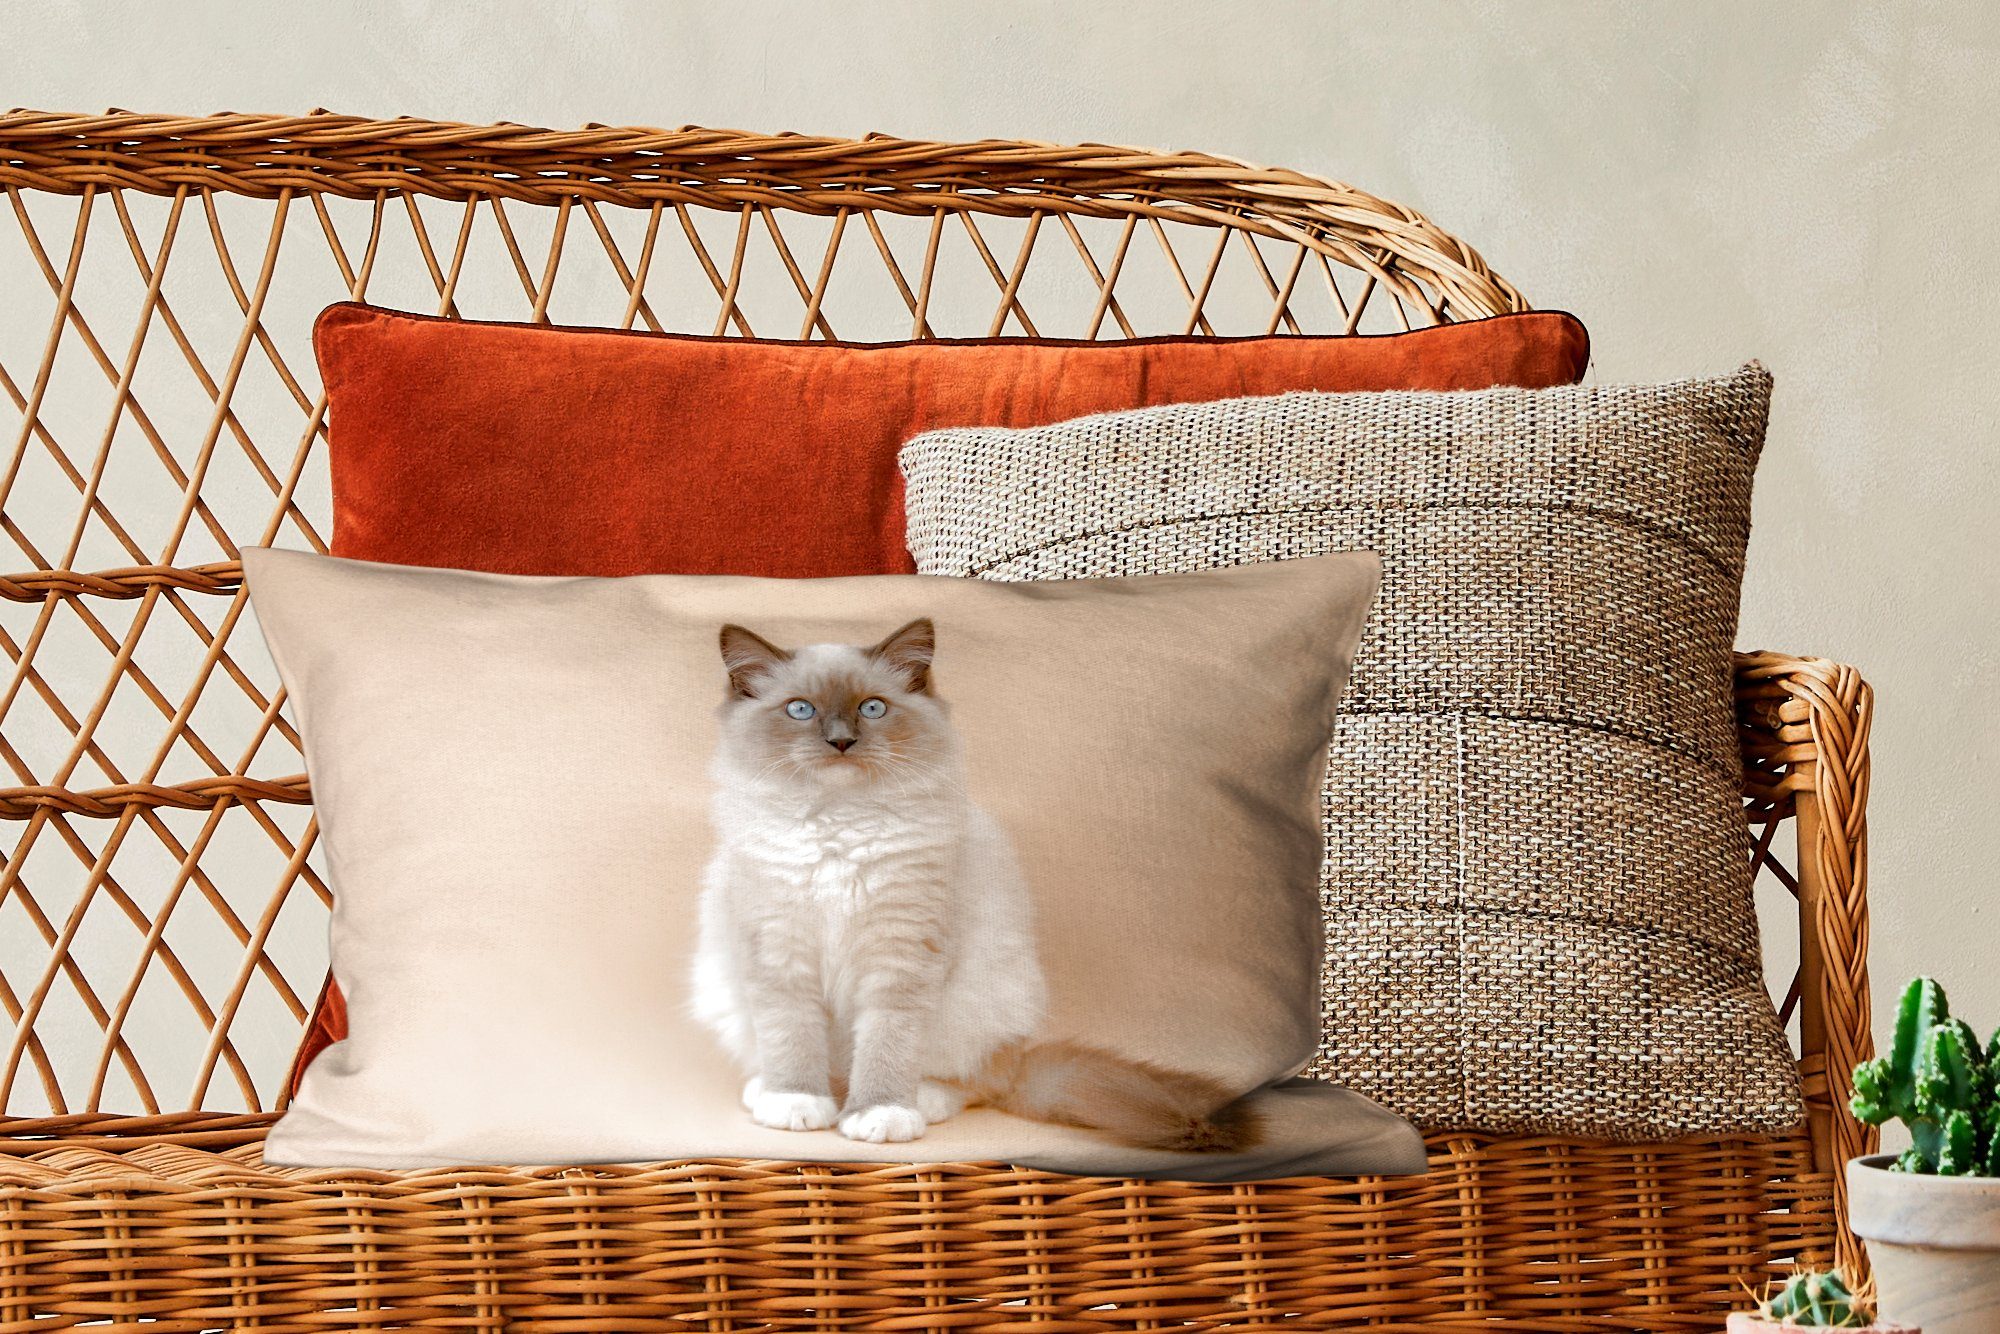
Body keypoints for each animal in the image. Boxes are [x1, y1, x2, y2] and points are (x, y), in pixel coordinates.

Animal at [688, 616, 1248, 1152]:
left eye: (872, 708)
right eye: (800, 710)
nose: (841, 741)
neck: (838, 822)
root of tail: (1018, 1058)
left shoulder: (900, 952)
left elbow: (886, 1045)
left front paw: (879, 1115)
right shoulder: (779, 947)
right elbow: (791, 1037)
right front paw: (796, 1103)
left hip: (981, 1004)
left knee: (973, 1081)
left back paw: (920, 1100)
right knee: (824, 1068)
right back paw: (771, 1091)